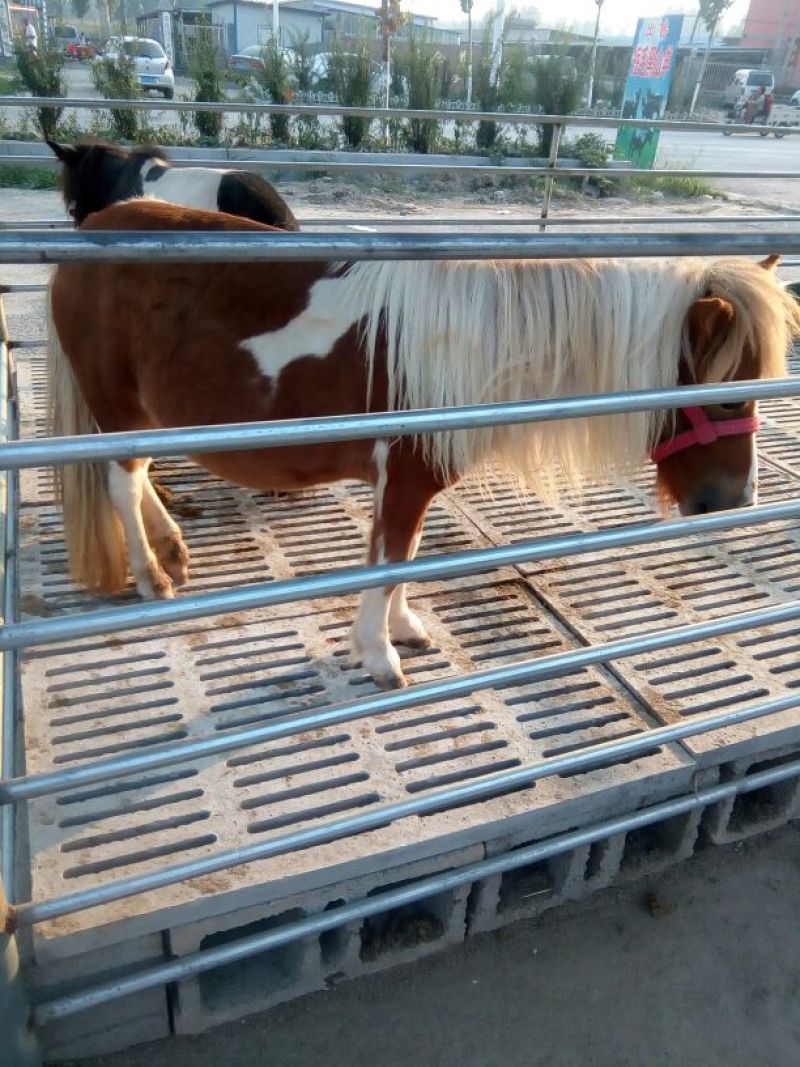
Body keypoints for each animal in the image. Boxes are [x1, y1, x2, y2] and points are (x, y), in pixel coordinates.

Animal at [47, 200, 800, 689]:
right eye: (728, 395)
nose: (736, 500)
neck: (473, 344)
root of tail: (94, 230)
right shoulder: (403, 481)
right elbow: (385, 564)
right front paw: (379, 656)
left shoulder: (409, 486)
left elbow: (401, 560)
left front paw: (404, 628)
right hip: (119, 409)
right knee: (123, 479)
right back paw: (154, 574)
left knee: (138, 476)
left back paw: (172, 548)